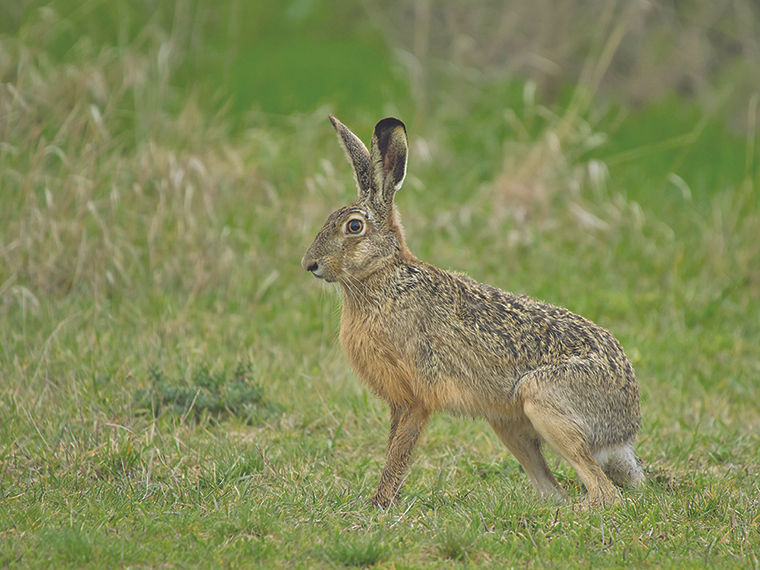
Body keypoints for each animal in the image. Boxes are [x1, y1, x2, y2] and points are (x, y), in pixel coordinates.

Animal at [302, 115, 644, 509]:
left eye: (354, 226)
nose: (309, 264)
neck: (384, 276)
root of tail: (626, 426)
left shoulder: (416, 396)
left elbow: (399, 452)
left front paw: (380, 504)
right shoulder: (398, 401)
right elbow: (393, 448)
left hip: (544, 401)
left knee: (605, 494)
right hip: (508, 424)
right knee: (552, 489)